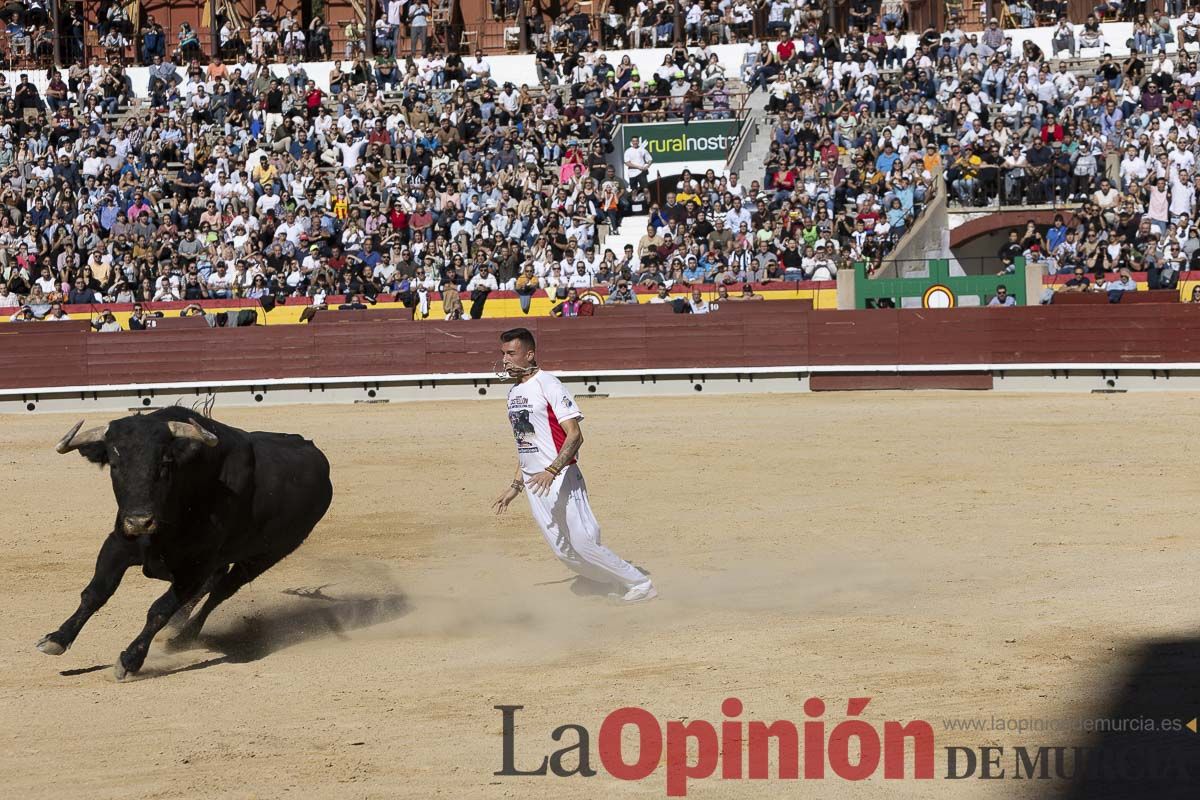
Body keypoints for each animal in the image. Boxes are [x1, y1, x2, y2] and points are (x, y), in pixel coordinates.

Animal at [38, 407, 333, 681]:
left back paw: (182, 638)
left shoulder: (195, 567)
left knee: (220, 591)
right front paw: (56, 638)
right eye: (114, 464)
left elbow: (160, 610)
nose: (139, 521)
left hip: (264, 556)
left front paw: (130, 660)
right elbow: (95, 593)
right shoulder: (118, 544)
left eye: (165, 463)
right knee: (214, 583)